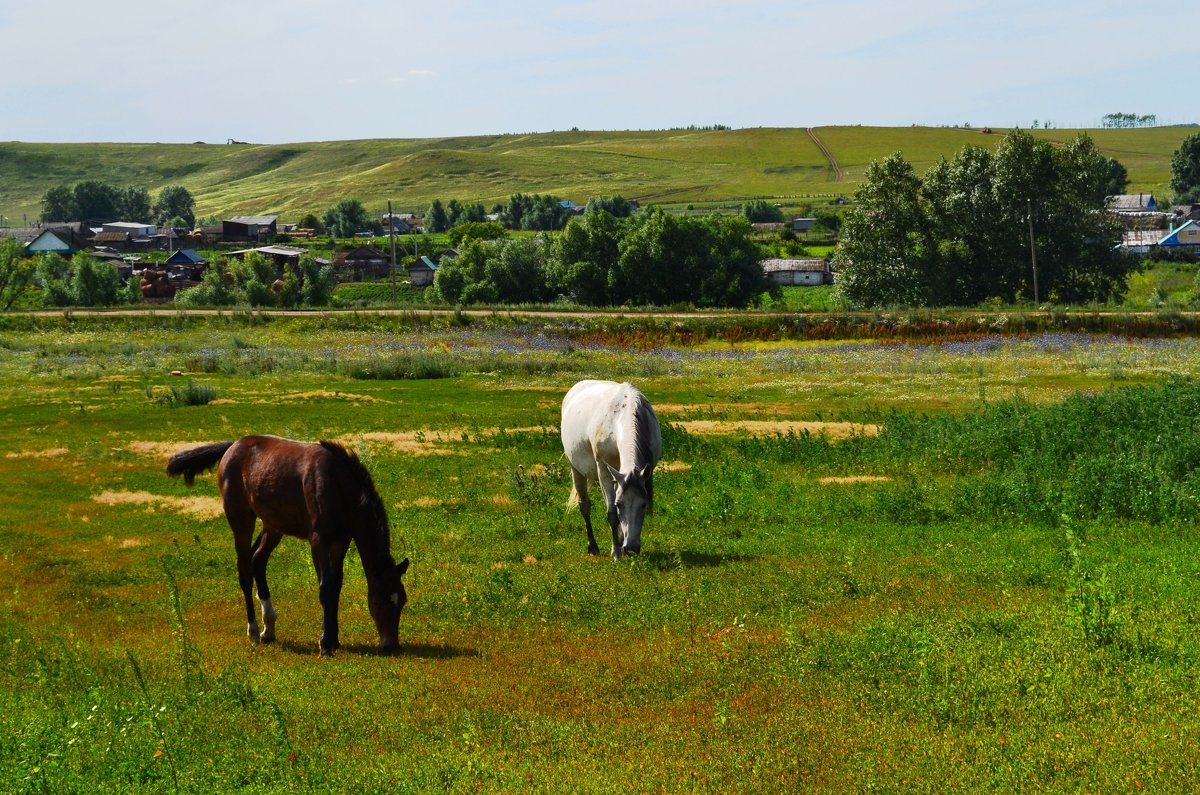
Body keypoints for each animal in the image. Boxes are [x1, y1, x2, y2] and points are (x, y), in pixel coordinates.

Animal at [164, 439, 410, 658]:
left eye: (402, 601)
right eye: (378, 601)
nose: (391, 646)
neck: (337, 484)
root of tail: (233, 445)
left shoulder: (341, 541)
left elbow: (336, 586)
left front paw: (334, 639)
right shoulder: (318, 540)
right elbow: (326, 588)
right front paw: (325, 645)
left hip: (272, 525)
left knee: (257, 559)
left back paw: (269, 628)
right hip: (241, 520)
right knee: (245, 570)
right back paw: (254, 632)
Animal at [561, 381, 667, 559]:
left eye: (644, 504)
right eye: (619, 505)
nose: (631, 547)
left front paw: (621, 545)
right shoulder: (604, 470)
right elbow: (611, 514)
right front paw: (616, 552)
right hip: (576, 469)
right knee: (584, 505)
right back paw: (593, 546)